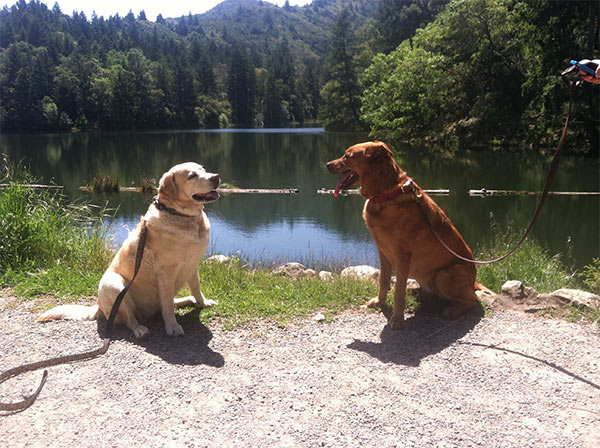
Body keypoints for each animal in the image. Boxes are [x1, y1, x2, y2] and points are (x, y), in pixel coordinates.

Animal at [326, 142, 480, 328]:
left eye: (347, 156)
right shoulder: (382, 251)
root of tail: (473, 282)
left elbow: (398, 290)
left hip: (443, 276)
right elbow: (384, 281)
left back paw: (452, 311)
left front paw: (397, 319)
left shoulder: (402, 255)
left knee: (473, 300)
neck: (385, 195)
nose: (327, 164)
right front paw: (379, 302)